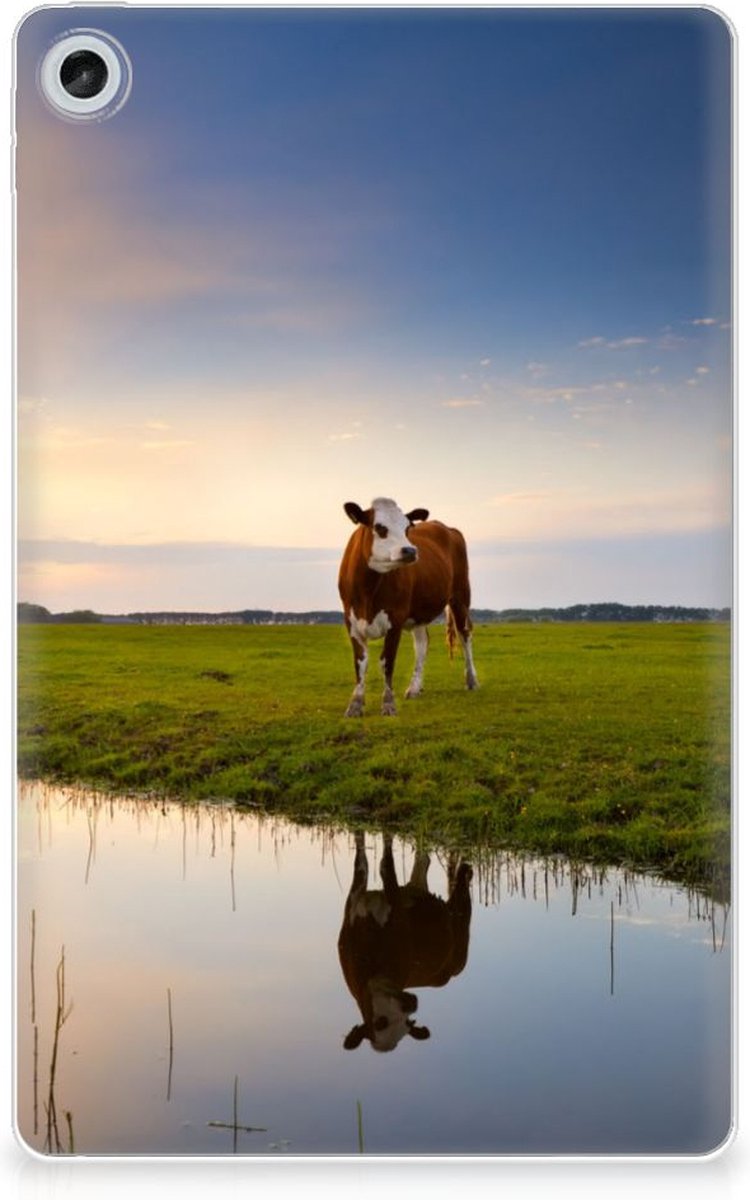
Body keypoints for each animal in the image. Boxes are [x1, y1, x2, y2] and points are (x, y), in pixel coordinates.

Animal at [337, 832, 473, 1052]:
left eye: (407, 1024)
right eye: (380, 1023)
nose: (411, 1004)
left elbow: (385, 864)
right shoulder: (354, 903)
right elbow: (361, 861)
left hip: (461, 936)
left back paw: (466, 870)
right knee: (423, 860)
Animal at [338, 497, 478, 717]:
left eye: (407, 528)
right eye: (380, 527)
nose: (411, 550)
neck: (368, 590)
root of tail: (447, 527)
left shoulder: (395, 619)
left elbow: (387, 661)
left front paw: (388, 703)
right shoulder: (351, 621)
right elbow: (360, 662)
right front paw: (355, 704)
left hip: (461, 596)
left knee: (465, 634)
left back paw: (471, 679)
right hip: (419, 612)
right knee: (422, 643)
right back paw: (414, 688)